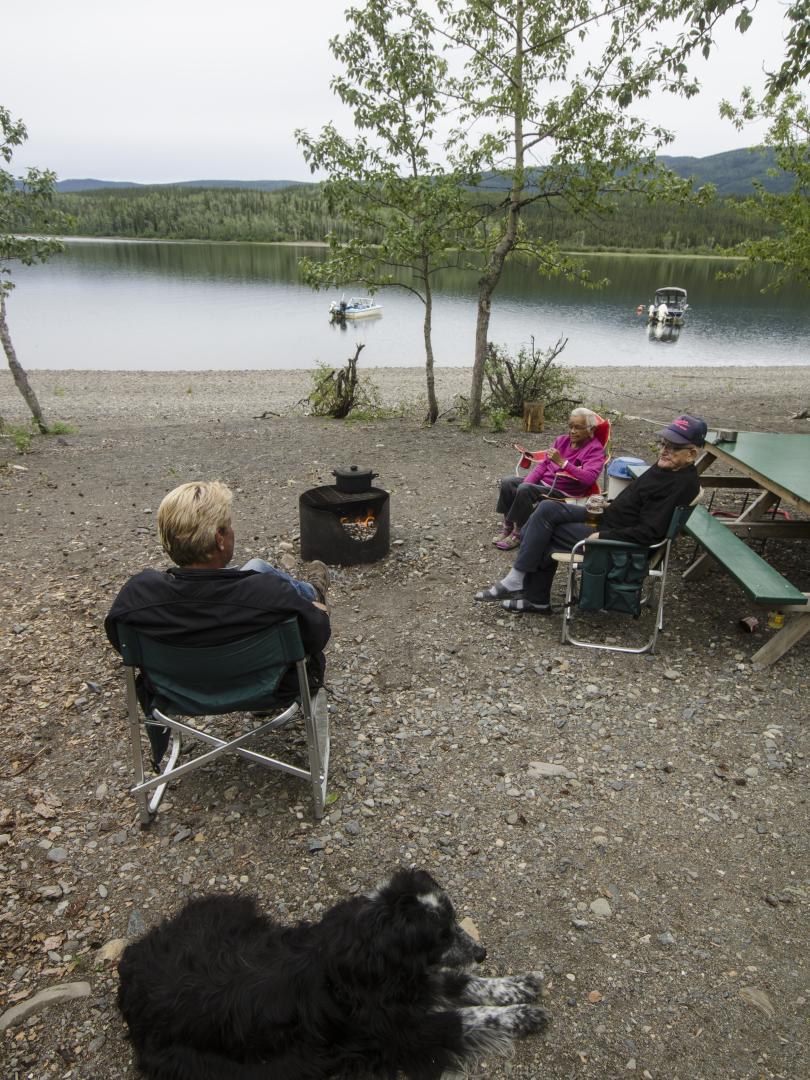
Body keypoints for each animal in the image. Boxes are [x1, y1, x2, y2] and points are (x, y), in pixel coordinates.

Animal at [118, 868, 552, 1080]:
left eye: (452, 920)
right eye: (441, 934)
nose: (481, 952)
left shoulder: (414, 982)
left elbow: (464, 983)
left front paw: (517, 986)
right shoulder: (404, 1033)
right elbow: (467, 1015)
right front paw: (523, 1015)